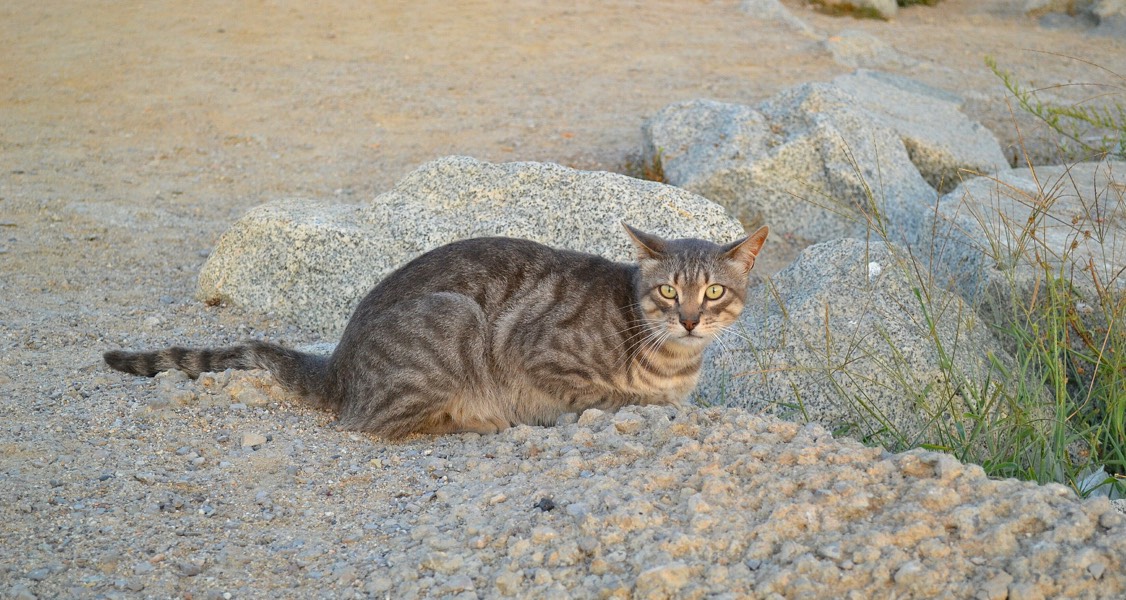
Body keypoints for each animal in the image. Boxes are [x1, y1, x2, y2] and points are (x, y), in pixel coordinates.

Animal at [105, 221, 770, 436]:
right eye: (667, 291)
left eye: (713, 291)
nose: (690, 318)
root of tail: (338, 362)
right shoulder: (536, 352)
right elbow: (612, 394)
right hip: (455, 320)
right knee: (376, 423)